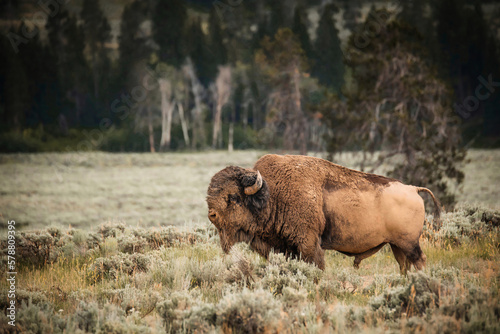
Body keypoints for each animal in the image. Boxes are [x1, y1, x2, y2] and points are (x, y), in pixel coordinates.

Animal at [205, 155, 440, 272]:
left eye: (233, 197)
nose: (212, 215)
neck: (272, 194)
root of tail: (413, 189)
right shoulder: (285, 247)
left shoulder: (308, 242)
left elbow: (316, 264)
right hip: (396, 244)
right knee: (404, 265)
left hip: (409, 243)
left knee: (419, 260)